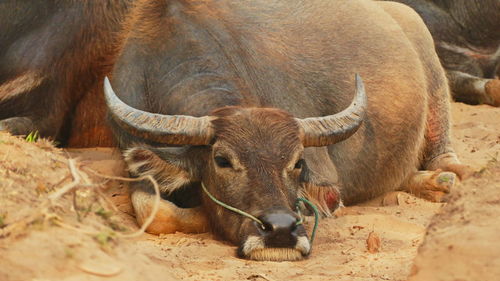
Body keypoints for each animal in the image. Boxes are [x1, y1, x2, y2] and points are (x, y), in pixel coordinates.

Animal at [103, 0, 470, 260]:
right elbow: (154, 212)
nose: (280, 230)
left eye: (297, 162)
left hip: (436, 85)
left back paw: (445, 179)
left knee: (444, 158)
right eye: (222, 161)